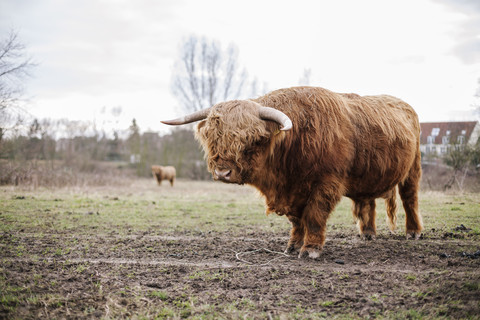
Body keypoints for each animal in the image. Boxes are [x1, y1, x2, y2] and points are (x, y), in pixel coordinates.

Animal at [162, 86, 424, 258]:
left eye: (253, 139)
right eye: (214, 137)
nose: (223, 172)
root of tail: (405, 105)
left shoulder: (326, 183)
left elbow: (315, 216)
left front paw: (311, 250)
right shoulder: (293, 191)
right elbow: (297, 220)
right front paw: (293, 246)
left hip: (413, 168)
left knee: (410, 199)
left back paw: (413, 232)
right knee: (368, 201)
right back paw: (368, 234)